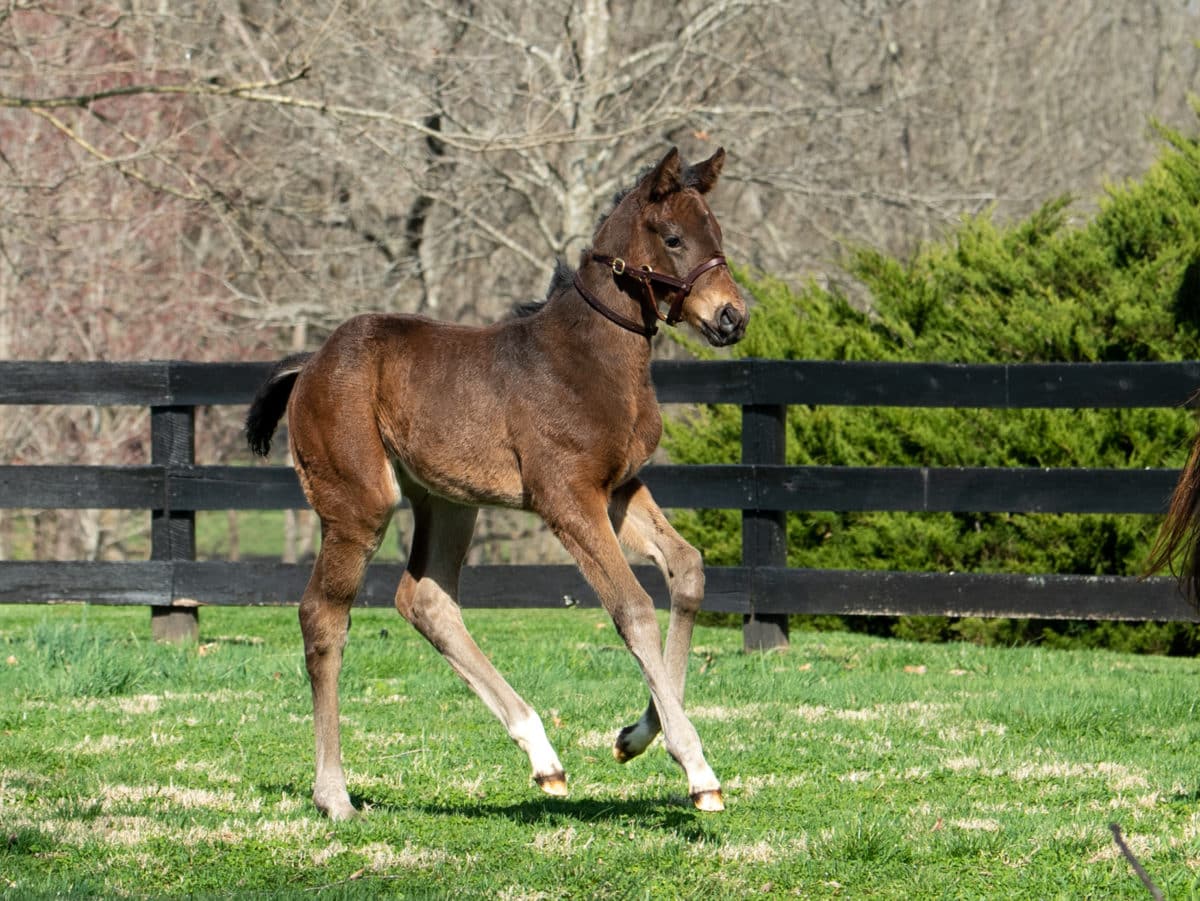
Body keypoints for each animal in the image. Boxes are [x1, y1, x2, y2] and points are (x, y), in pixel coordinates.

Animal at [244, 148, 744, 815]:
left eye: (717, 234)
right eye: (672, 238)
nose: (732, 317)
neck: (588, 360)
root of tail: (309, 366)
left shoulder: (618, 487)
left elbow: (686, 570)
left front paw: (636, 737)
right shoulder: (567, 497)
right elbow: (632, 609)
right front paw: (698, 770)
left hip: (449, 501)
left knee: (427, 601)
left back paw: (544, 758)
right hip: (360, 505)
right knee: (323, 617)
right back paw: (335, 796)